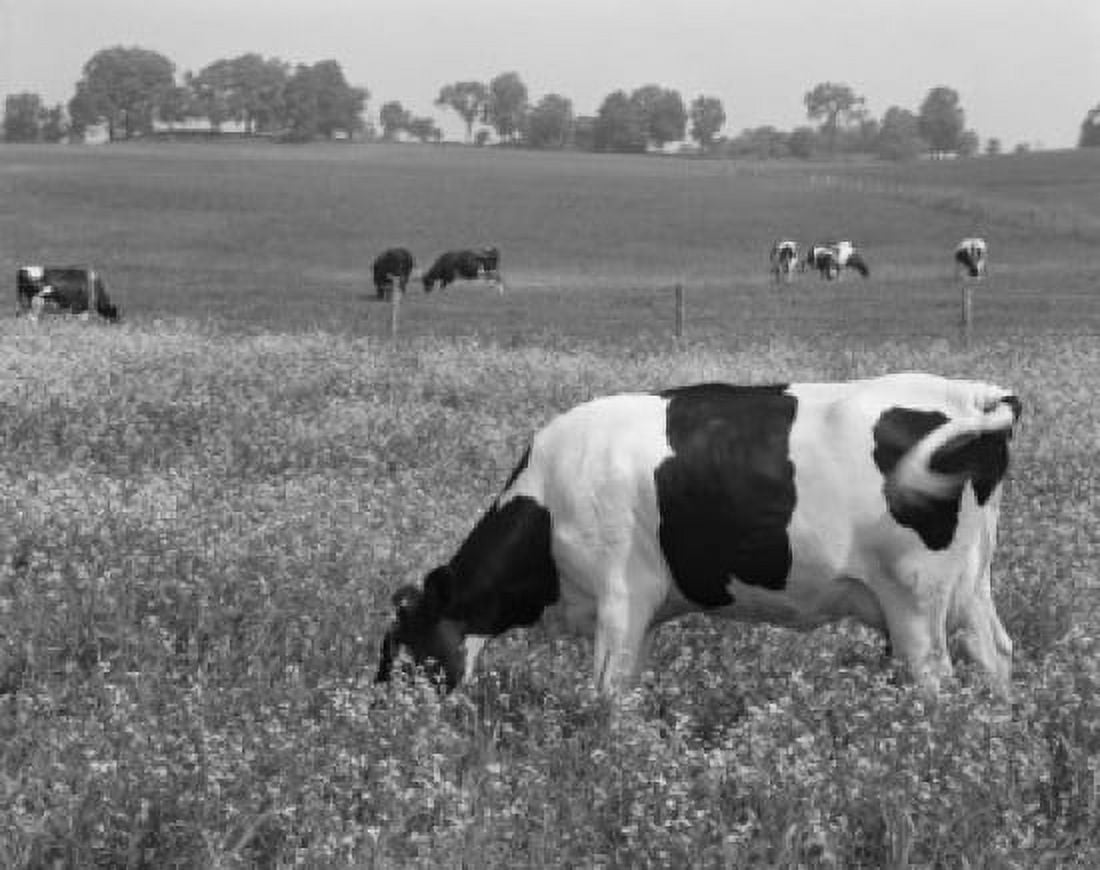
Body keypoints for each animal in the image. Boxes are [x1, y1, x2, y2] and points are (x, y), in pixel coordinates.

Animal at [376, 373, 1021, 702]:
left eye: (402, 645)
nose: (379, 707)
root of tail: (973, 393)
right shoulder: (645, 612)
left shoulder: (621, 595)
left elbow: (606, 693)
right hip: (971, 582)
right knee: (995, 654)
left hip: (914, 596)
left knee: (936, 678)